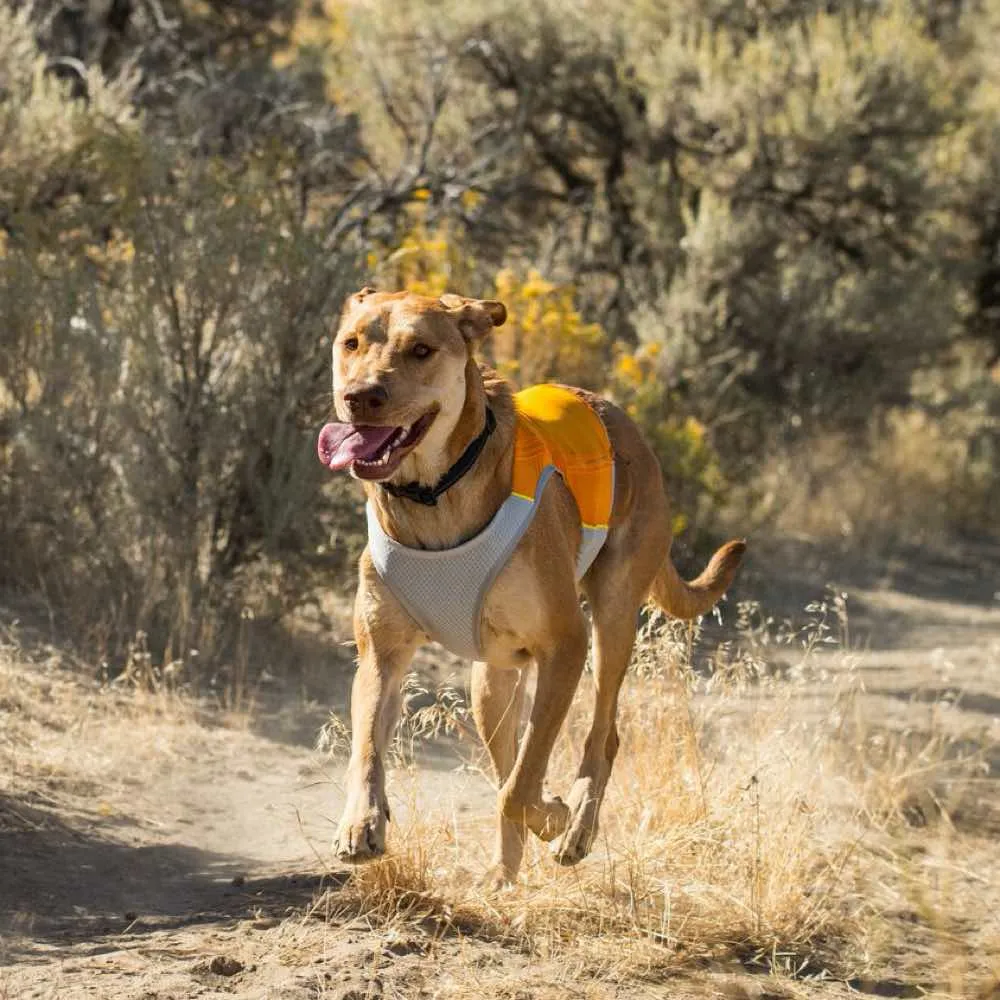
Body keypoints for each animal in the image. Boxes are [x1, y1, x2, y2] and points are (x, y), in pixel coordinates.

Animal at [316, 288, 748, 884]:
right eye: (351, 343)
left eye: (421, 349)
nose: (360, 398)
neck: (434, 495)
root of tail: (621, 418)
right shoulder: (382, 652)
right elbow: (368, 750)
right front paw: (361, 823)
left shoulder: (565, 646)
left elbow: (520, 786)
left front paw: (556, 816)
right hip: (491, 681)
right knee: (510, 756)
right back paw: (505, 874)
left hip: (611, 620)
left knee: (600, 737)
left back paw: (575, 828)